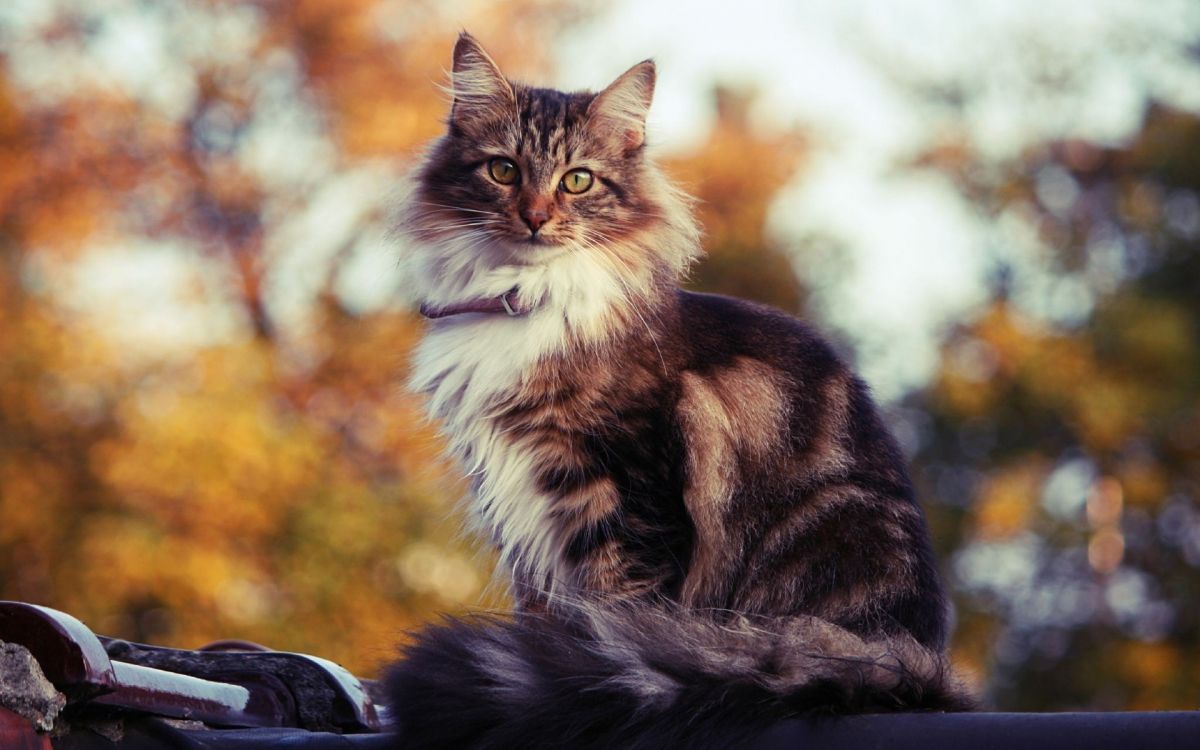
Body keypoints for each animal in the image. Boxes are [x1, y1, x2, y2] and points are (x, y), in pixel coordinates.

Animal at [384, 32, 974, 748]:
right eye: (502, 170)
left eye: (577, 179)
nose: (535, 218)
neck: (521, 304)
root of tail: (914, 662)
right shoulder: (522, 514)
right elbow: (544, 625)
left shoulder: (625, 494)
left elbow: (611, 619)